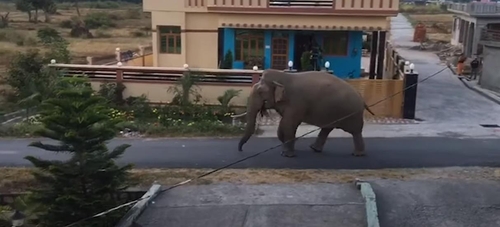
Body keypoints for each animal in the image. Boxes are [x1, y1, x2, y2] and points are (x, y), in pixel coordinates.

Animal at [238, 69, 376, 158]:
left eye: (261, 92)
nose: (240, 150)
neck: (283, 77)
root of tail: (361, 97)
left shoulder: (296, 103)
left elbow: (289, 125)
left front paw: (287, 155)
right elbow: (283, 125)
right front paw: (285, 149)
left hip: (352, 114)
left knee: (355, 132)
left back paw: (358, 154)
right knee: (327, 128)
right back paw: (314, 149)